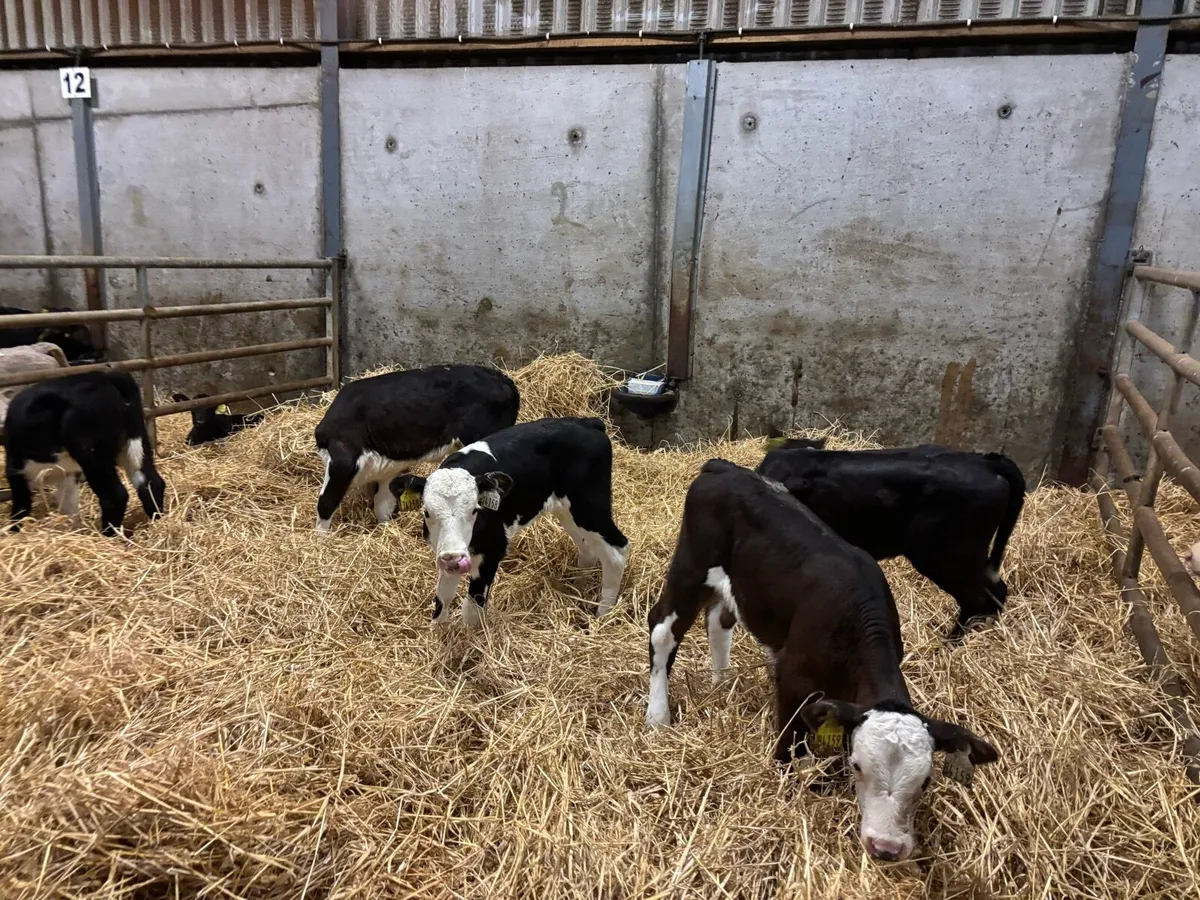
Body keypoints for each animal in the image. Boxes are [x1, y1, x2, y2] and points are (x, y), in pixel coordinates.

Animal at [4, 371, 166, 536]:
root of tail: (106, 377)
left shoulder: (16, 469)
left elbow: (21, 506)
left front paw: (13, 531)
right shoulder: (67, 473)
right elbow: (69, 505)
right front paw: (74, 530)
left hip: (91, 456)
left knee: (115, 496)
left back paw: (107, 535)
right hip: (136, 440)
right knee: (150, 482)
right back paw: (156, 521)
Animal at [313, 364, 519, 533]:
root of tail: (502, 378)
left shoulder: (342, 460)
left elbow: (325, 503)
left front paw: (320, 541)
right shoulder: (387, 468)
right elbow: (383, 505)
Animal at [392, 417, 629, 626]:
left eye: (475, 510)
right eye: (427, 512)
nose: (454, 558)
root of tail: (588, 422)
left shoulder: (493, 549)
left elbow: (471, 609)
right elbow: (443, 599)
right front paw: (438, 634)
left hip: (589, 506)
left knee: (617, 550)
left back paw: (603, 615)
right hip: (568, 511)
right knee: (588, 548)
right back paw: (579, 587)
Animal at [645, 459, 999, 862]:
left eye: (925, 781)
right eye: (859, 766)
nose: (886, 847)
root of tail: (724, 467)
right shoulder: (792, 680)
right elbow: (788, 748)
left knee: (719, 620)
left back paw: (721, 684)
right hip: (690, 567)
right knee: (662, 629)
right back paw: (658, 716)